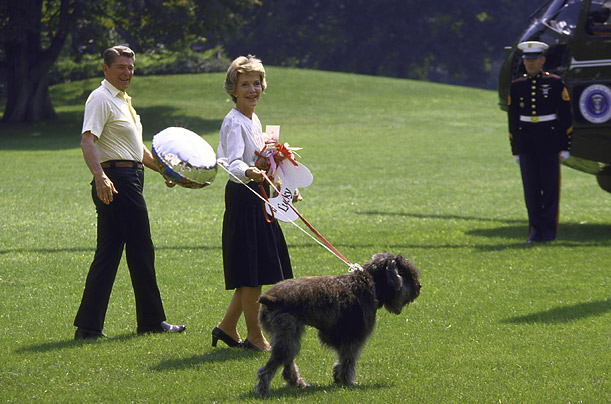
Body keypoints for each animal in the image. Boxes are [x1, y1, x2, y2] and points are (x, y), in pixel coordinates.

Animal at [253, 252, 420, 394]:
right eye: (406, 273)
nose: (419, 287)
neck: (370, 282)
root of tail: (269, 298)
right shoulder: (354, 338)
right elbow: (348, 360)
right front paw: (348, 381)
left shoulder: (343, 338)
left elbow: (342, 358)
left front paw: (338, 377)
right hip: (287, 336)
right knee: (268, 368)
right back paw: (263, 389)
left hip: (290, 338)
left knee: (288, 362)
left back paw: (296, 382)